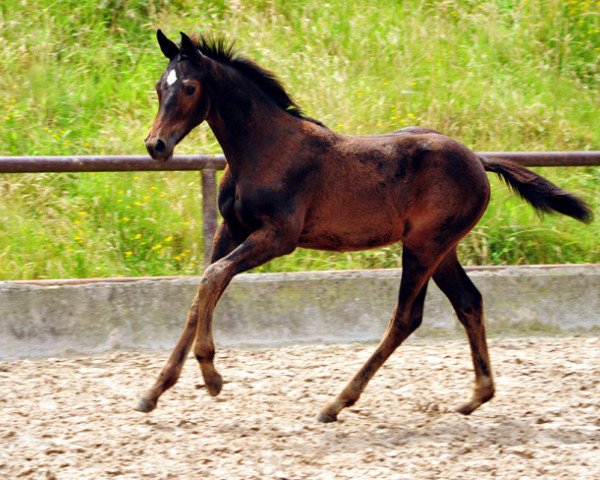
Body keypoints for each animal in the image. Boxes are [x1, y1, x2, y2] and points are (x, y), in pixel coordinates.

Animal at [138, 30, 592, 422]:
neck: (264, 149)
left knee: (407, 317)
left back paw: (337, 402)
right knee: (468, 302)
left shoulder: (279, 237)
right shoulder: (229, 229)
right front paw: (155, 391)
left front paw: (211, 374)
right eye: (160, 86)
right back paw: (476, 396)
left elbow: (213, 277)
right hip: (440, 249)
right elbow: (202, 289)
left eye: (190, 88)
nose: (155, 145)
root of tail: (479, 161)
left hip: (424, 246)